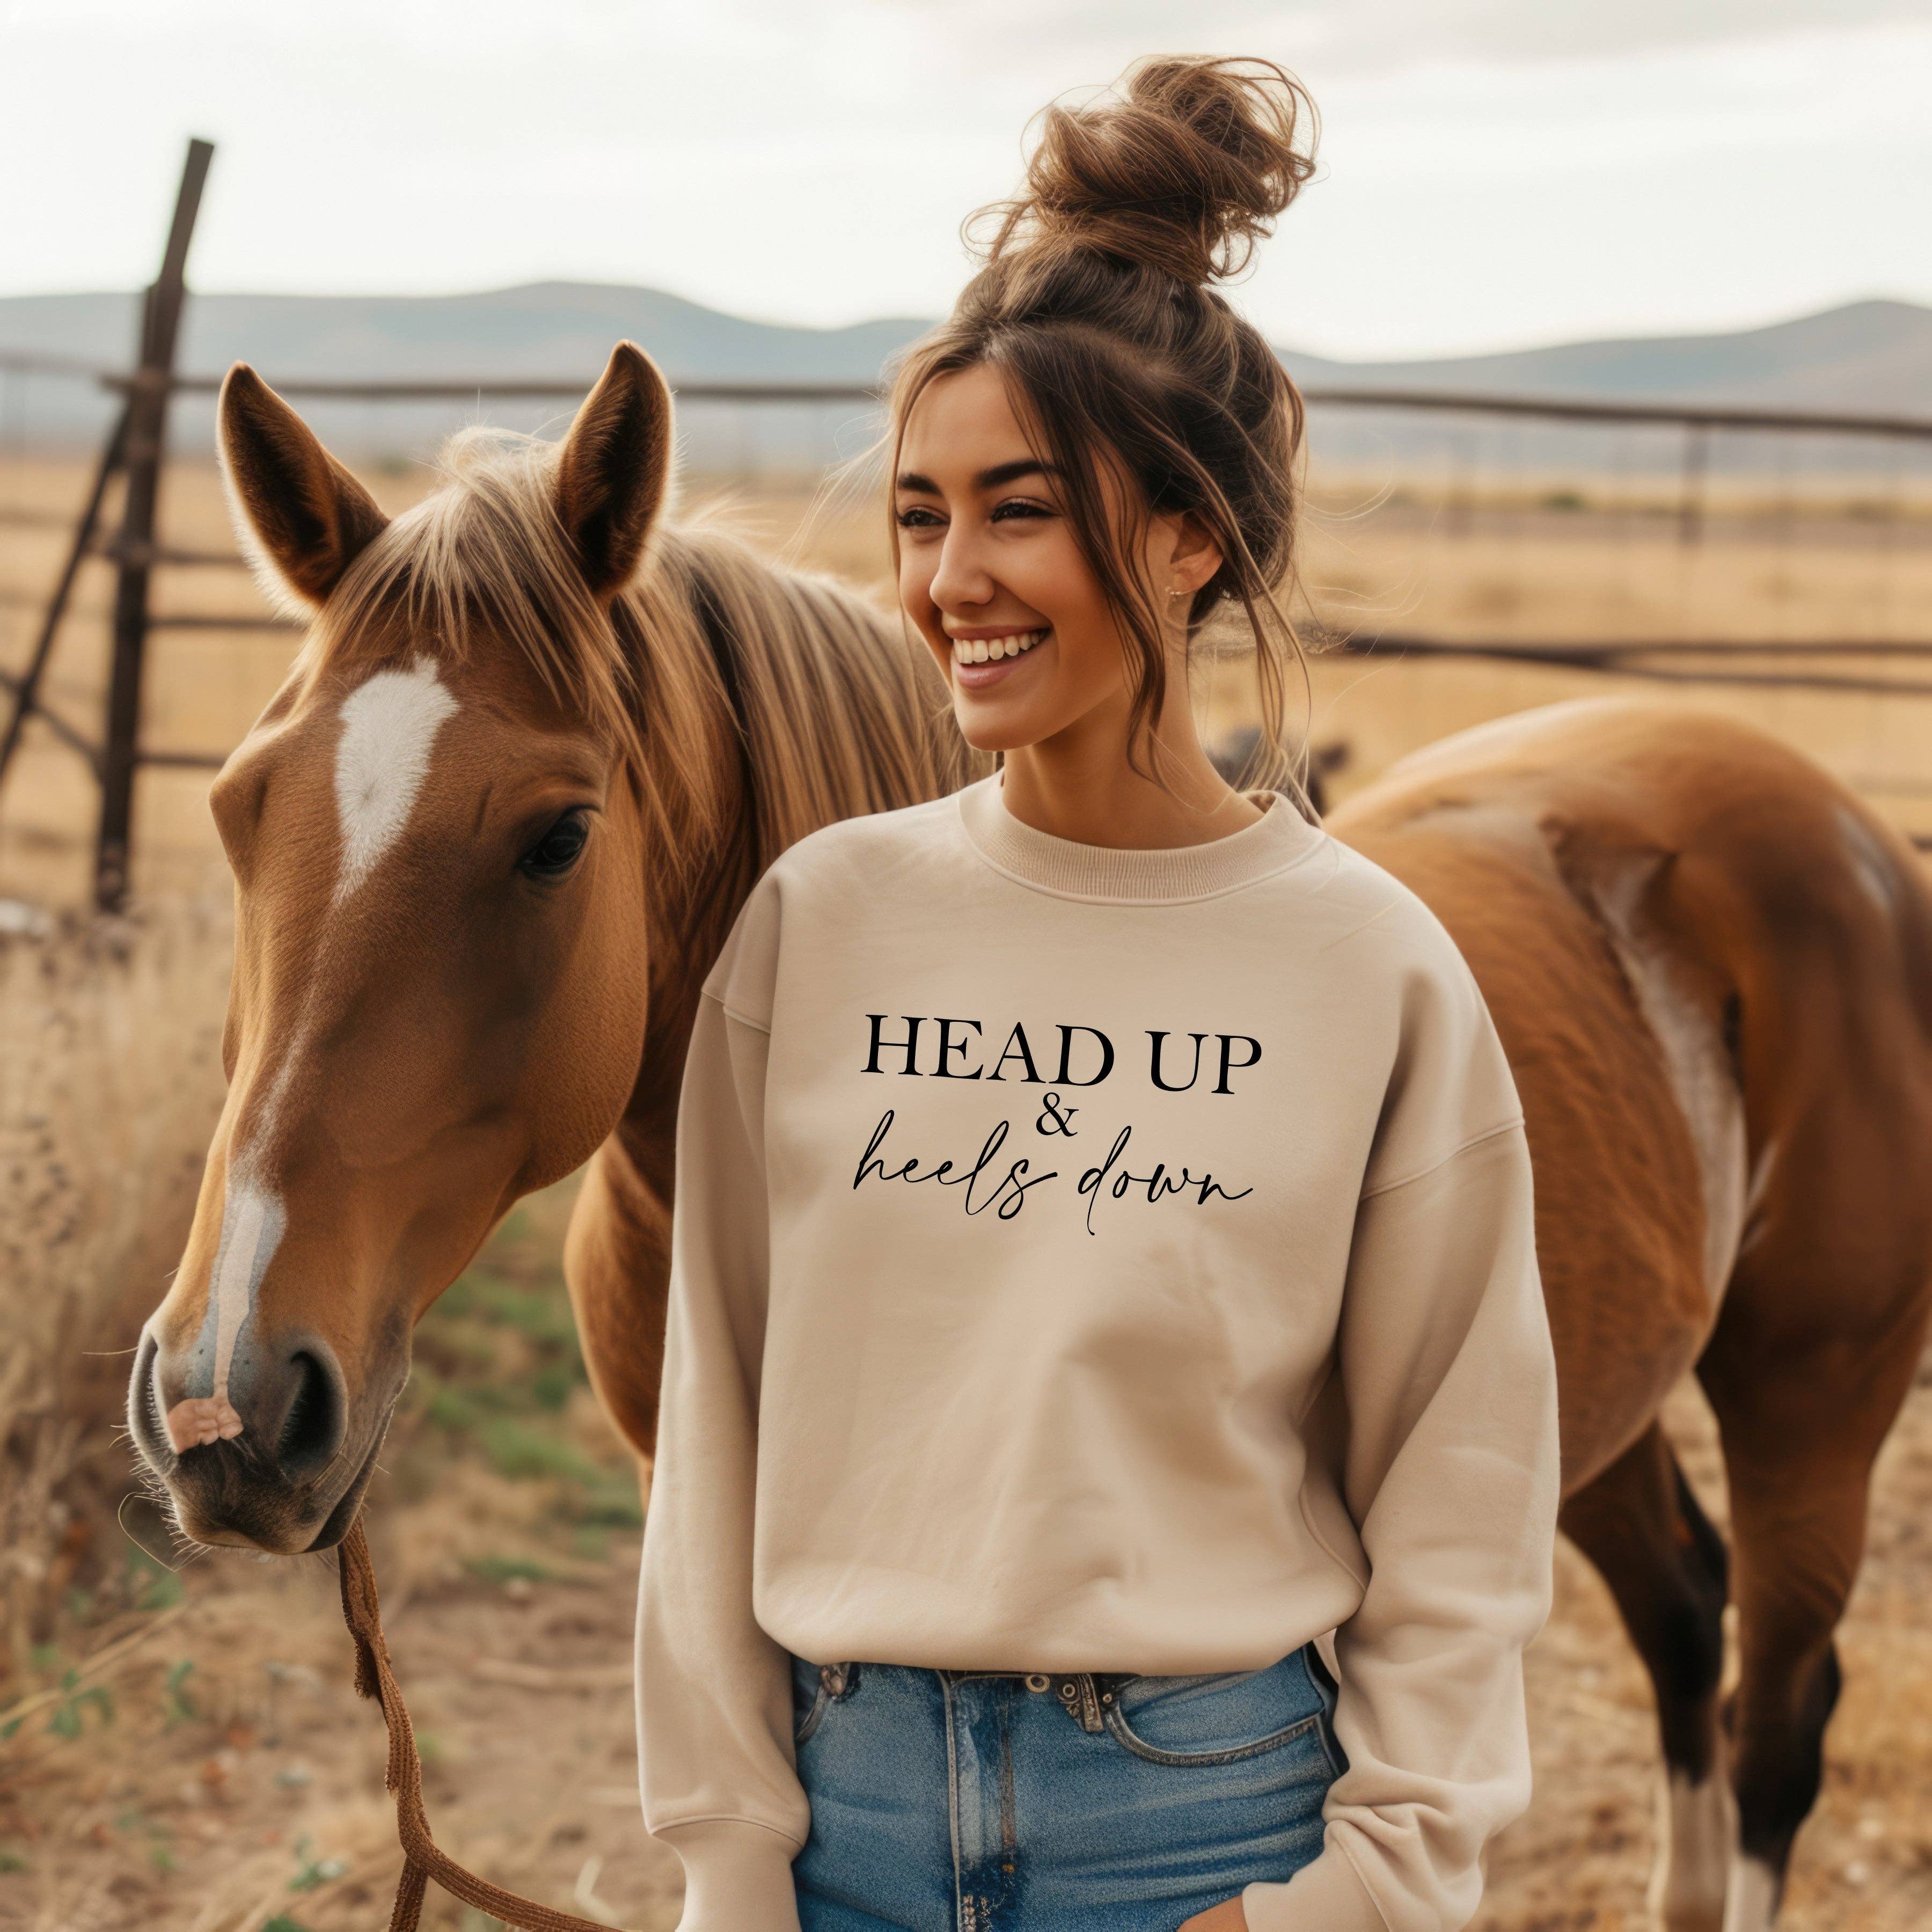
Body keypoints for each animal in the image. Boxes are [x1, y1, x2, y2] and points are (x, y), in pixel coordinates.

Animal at [132, 340, 1932, 1924]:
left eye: (558, 836)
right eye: (235, 807)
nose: (229, 1393)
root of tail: (1845, 832)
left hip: (1808, 1404)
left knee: (1775, 1711)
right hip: (1568, 1420)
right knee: (1684, 1615)